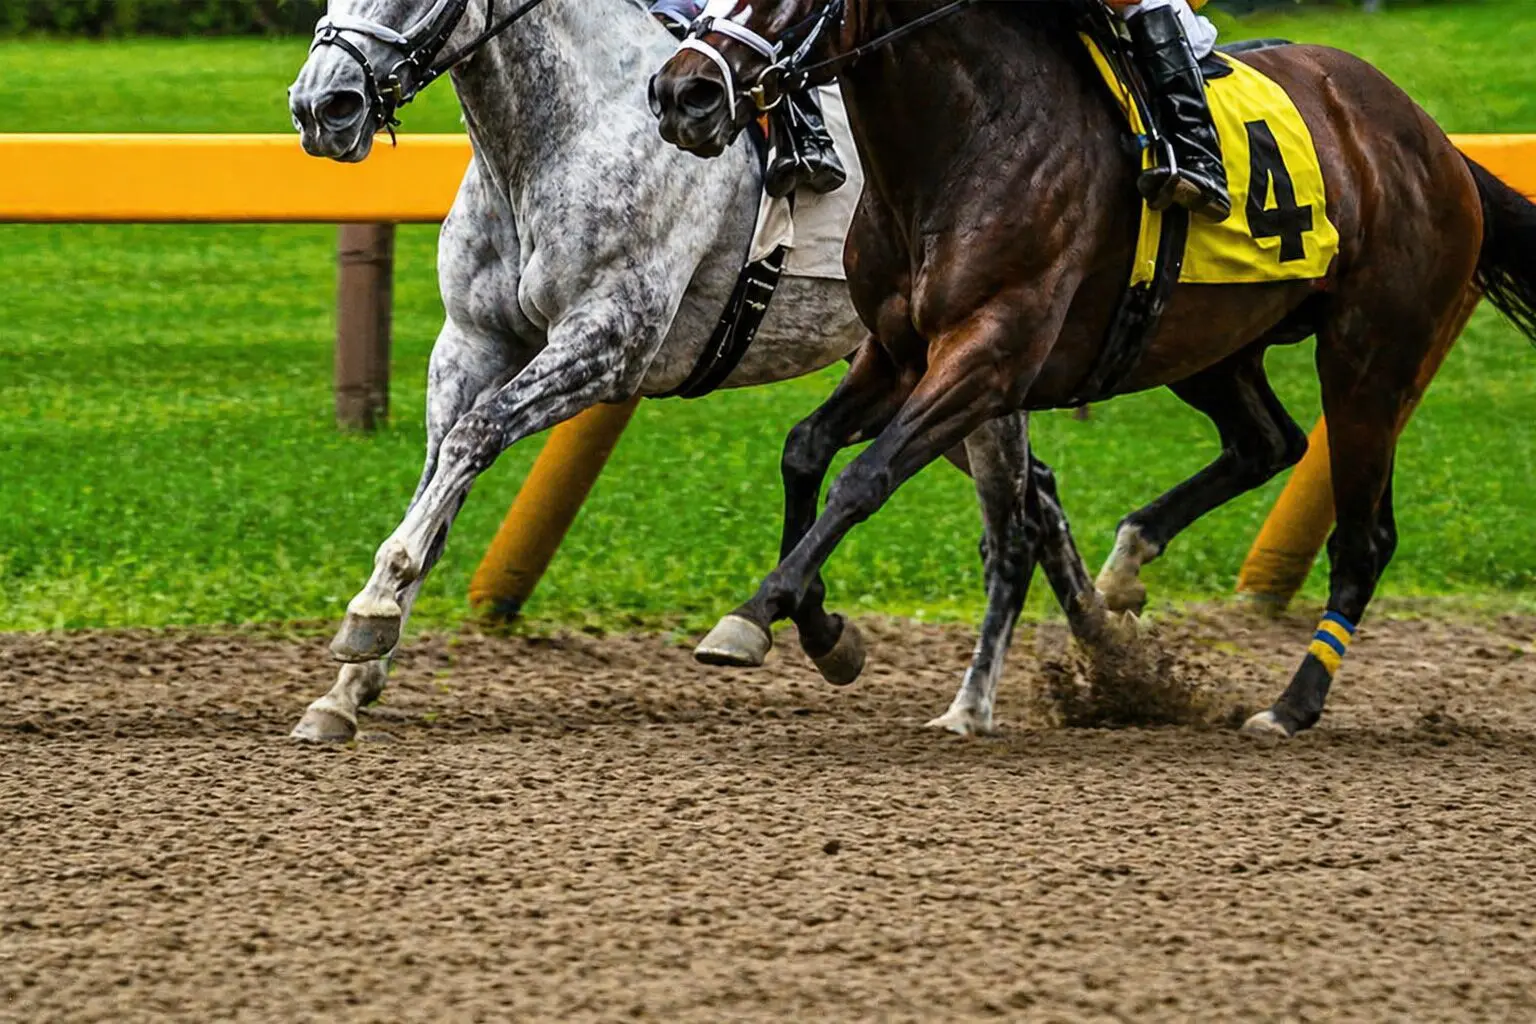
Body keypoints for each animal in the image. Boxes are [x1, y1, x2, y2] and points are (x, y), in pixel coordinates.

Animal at [284, 0, 1120, 741]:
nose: (322, 104)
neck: (567, 132)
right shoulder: (472, 344)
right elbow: (439, 487)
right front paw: (347, 688)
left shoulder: (607, 343)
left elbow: (473, 440)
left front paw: (370, 612)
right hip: (917, 376)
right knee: (1042, 501)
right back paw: (1115, 656)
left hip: (978, 360)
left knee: (1013, 528)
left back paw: (980, 703)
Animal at [651, 0, 1536, 737]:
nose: (681, 93)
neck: (968, 135)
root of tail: (1437, 143)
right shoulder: (898, 351)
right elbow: (805, 449)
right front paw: (819, 627)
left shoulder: (990, 353)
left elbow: (863, 477)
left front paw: (756, 613)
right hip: (1207, 344)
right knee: (1268, 443)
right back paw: (1126, 570)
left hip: (1368, 356)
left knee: (1364, 539)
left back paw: (1292, 705)